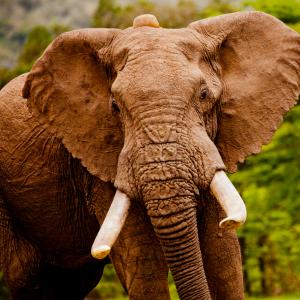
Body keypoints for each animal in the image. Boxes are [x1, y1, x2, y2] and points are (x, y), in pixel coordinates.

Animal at [0, 11, 298, 298]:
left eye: (204, 95)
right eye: (115, 106)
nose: (230, 221)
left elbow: (223, 257)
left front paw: (223, 228)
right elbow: (143, 262)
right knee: (27, 279)